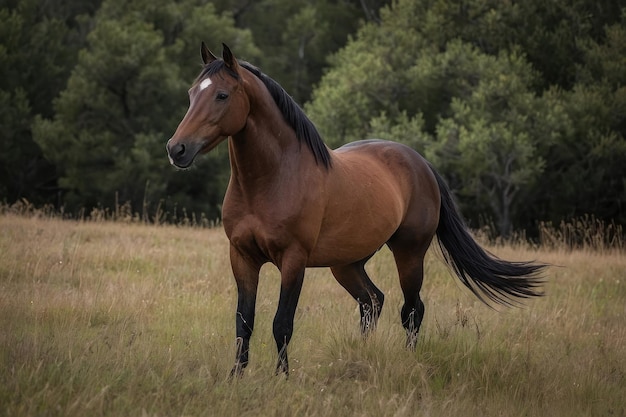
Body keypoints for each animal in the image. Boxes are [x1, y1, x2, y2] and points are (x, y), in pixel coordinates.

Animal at [165, 44, 540, 376]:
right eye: (191, 93)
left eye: (222, 95)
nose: (176, 149)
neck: (273, 178)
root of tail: (421, 164)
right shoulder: (241, 256)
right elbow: (244, 322)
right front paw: (236, 377)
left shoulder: (293, 260)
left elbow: (281, 323)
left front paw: (281, 378)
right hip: (347, 263)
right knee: (372, 301)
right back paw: (362, 355)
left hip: (409, 254)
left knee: (411, 310)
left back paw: (408, 361)